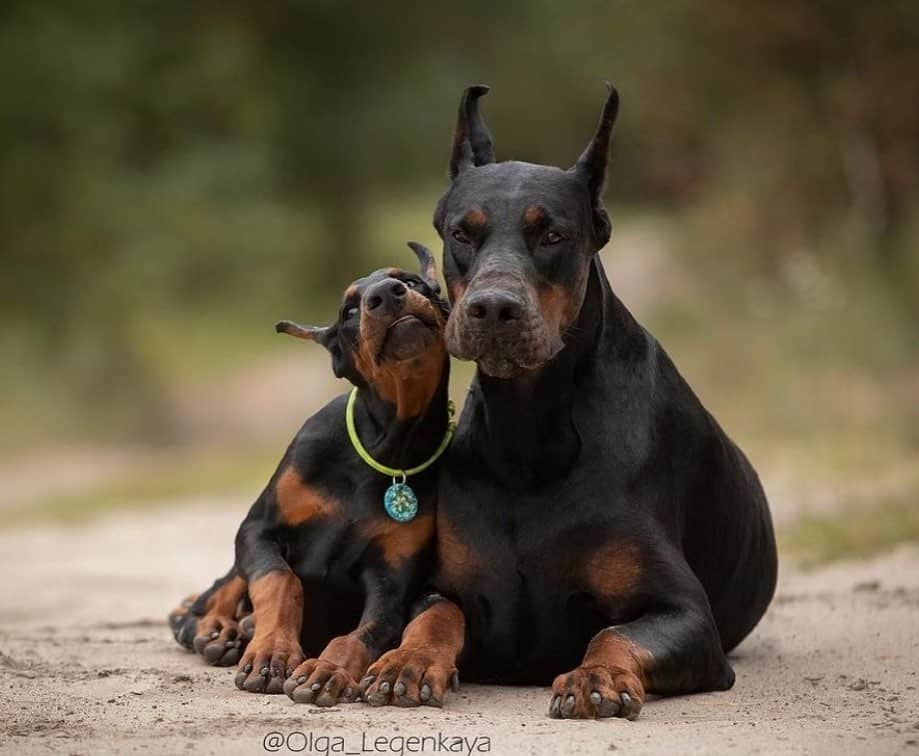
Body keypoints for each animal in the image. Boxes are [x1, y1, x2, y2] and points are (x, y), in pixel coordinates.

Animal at [168, 245, 452, 704]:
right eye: (349, 309)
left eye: (410, 281)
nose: (386, 296)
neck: (383, 449)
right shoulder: (256, 530)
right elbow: (280, 582)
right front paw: (271, 654)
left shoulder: (393, 579)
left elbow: (366, 631)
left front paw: (326, 669)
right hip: (232, 568)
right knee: (213, 595)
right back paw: (221, 630)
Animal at [360, 87, 776, 720]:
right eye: (462, 234)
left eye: (551, 235)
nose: (494, 308)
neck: (530, 433)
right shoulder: (445, 586)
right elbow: (434, 616)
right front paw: (406, 661)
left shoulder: (683, 613)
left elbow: (614, 631)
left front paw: (595, 676)